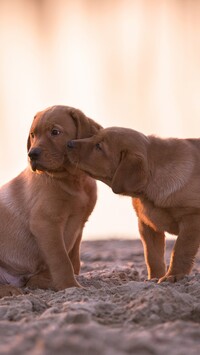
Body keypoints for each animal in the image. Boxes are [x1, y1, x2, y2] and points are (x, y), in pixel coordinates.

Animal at [0, 105, 101, 298]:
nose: (32, 154)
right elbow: (62, 260)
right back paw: (9, 289)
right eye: (33, 135)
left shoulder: (80, 223)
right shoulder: (46, 223)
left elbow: (74, 259)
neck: (73, 181)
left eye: (55, 132)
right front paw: (70, 286)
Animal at [67, 126, 200, 286]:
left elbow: (180, 251)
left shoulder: (192, 219)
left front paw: (173, 276)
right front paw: (154, 278)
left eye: (99, 146)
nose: (69, 143)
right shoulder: (147, 224)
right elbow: (152, 255)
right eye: (93, 137)